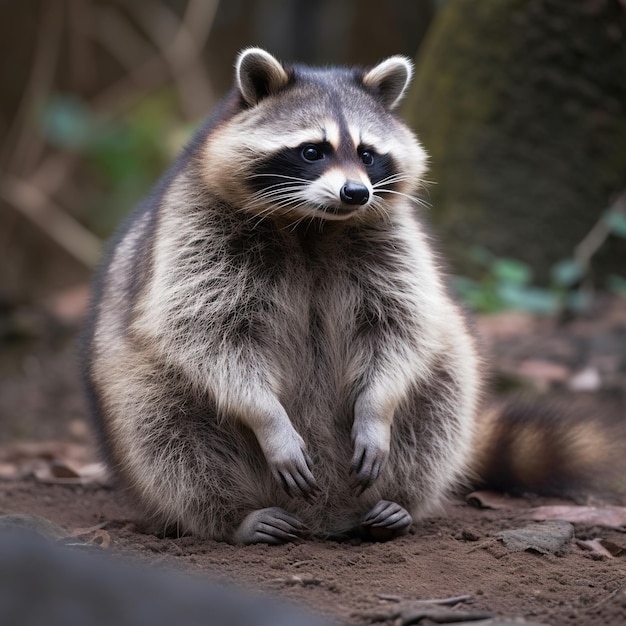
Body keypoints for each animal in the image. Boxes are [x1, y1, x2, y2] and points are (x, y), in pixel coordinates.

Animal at [83, 47, 480, 540]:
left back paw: (398, 503)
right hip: (135, 387)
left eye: (367, 154)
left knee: (444, 388)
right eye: (312, 151)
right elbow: (206, 335)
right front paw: (269, 421)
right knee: (162, 427)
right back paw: (231, 518)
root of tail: (325, 519)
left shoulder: (392, 240)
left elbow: (400, 326)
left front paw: (376, 411)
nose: (356, 193)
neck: (315, 223)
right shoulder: (197, 227)